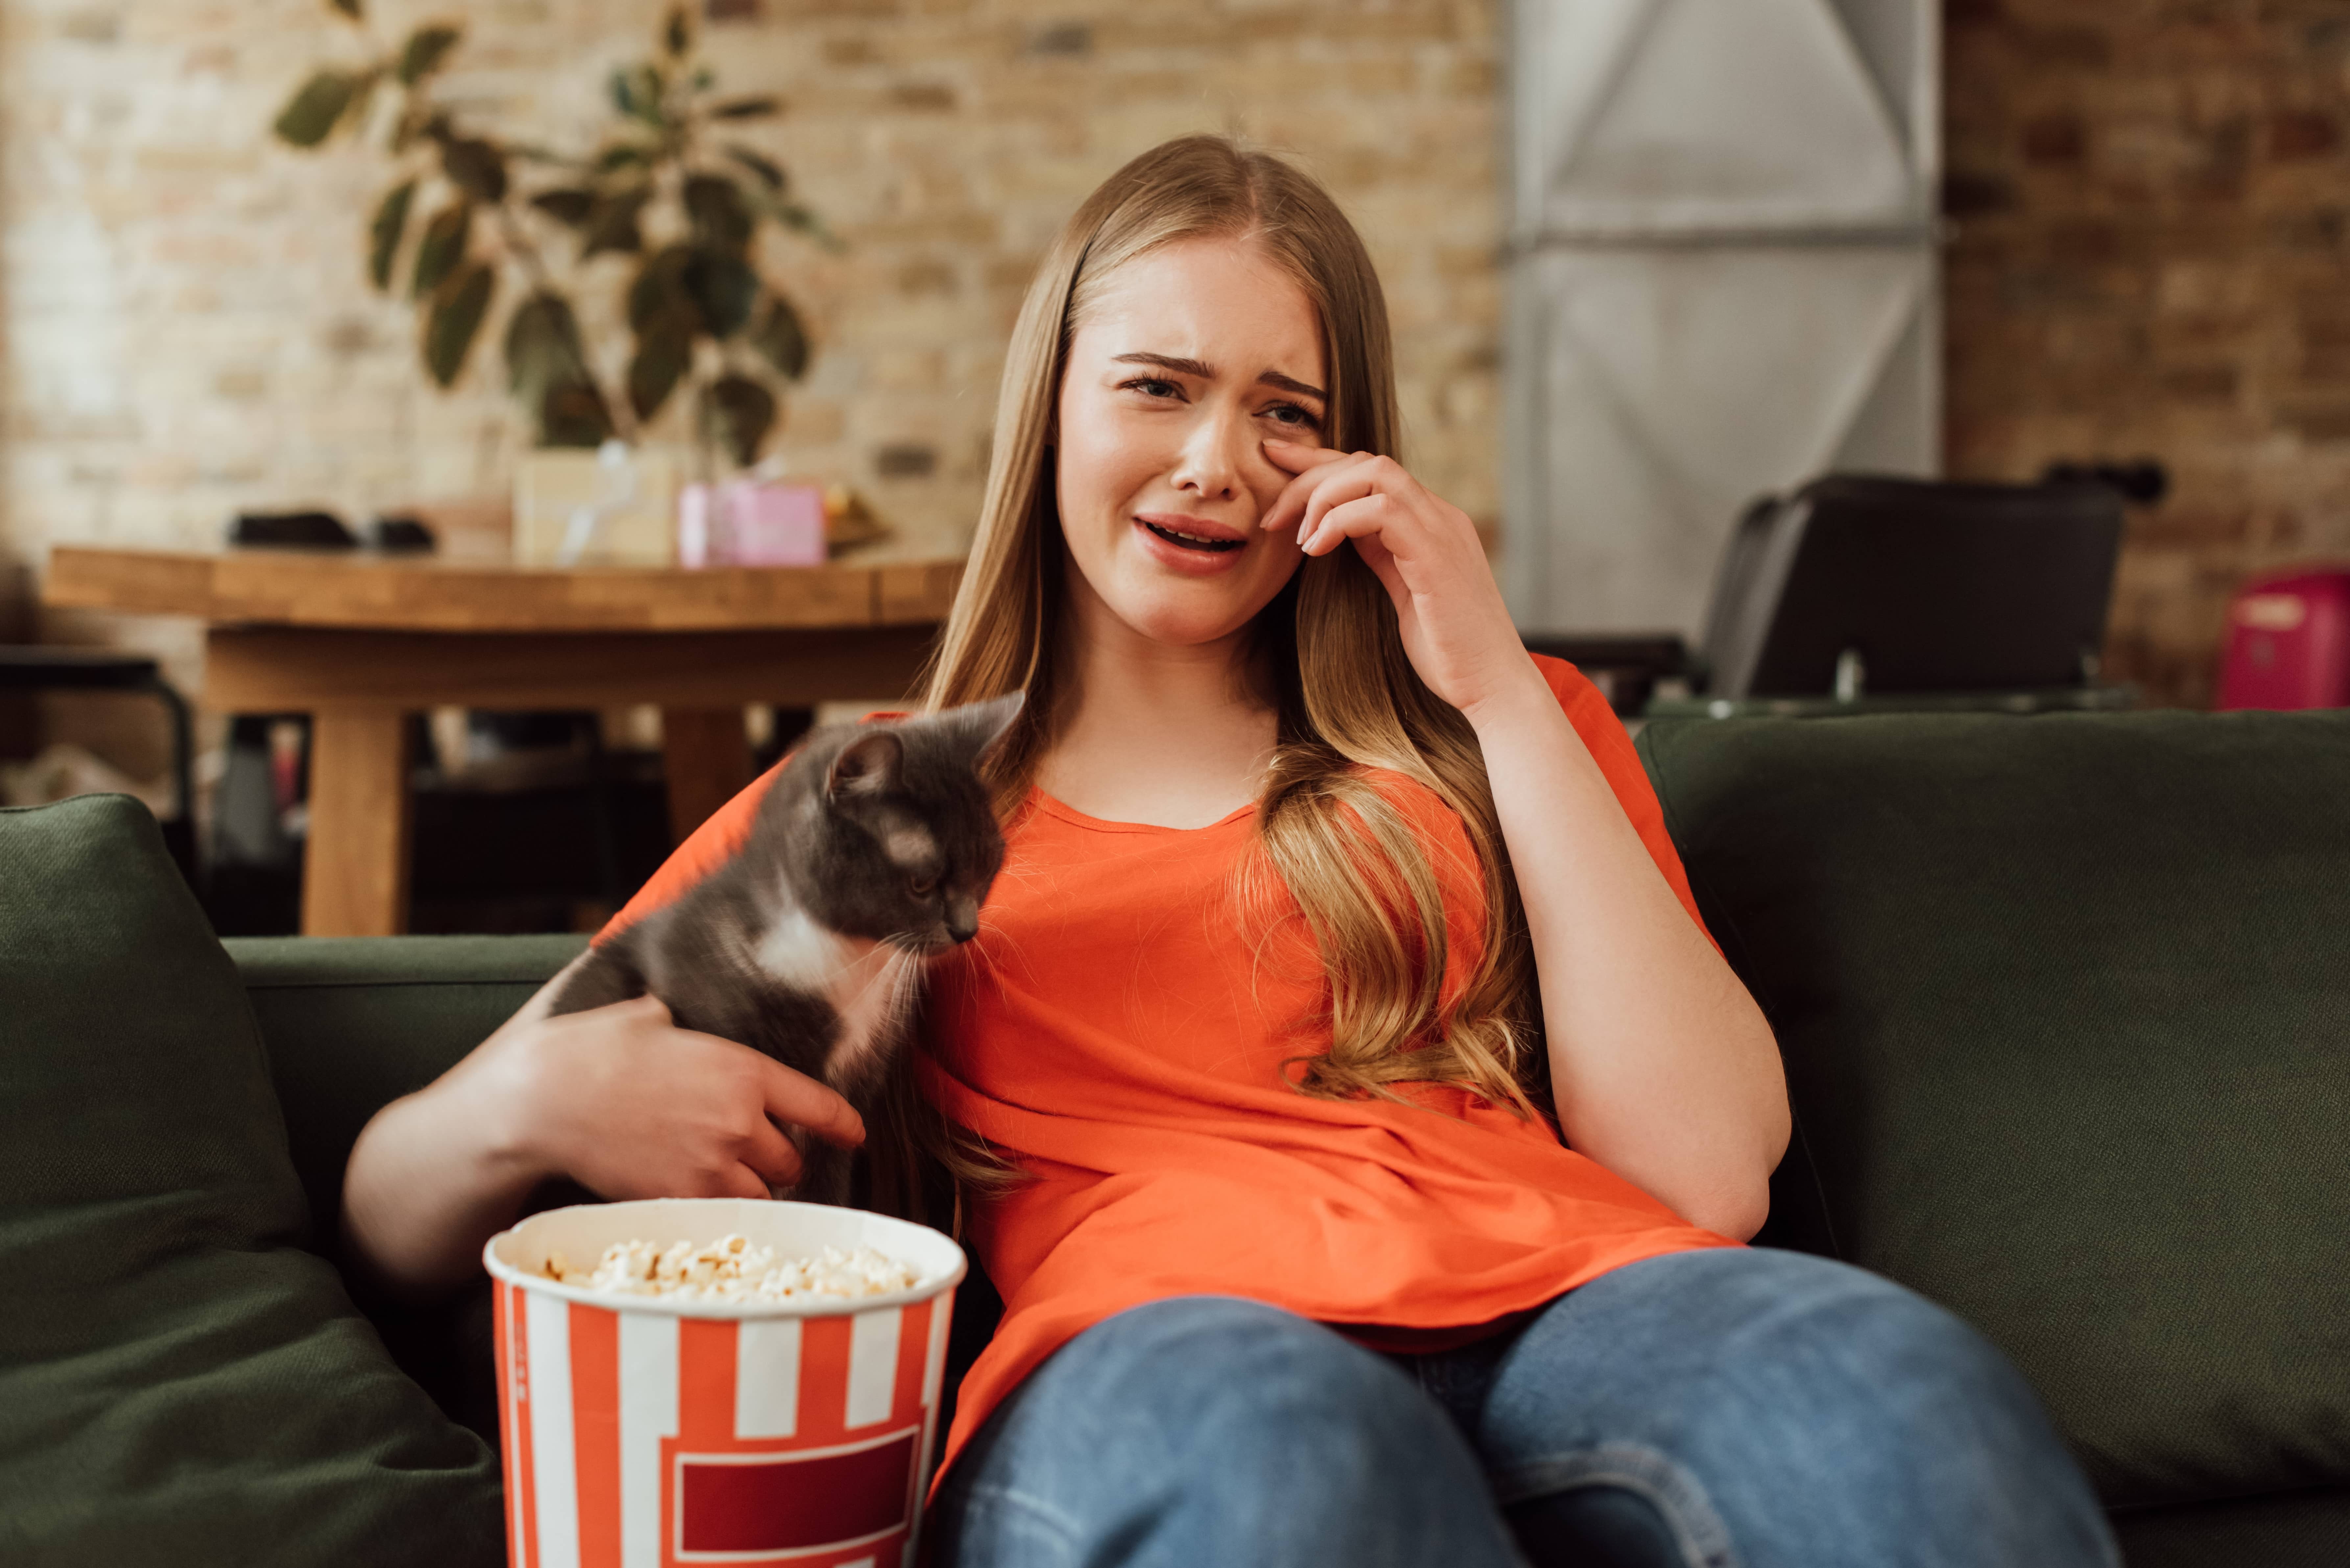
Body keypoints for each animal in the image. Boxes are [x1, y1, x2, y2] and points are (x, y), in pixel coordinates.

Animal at [550, 691, 1029, 1213]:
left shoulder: (847, 1096)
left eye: (988, 866)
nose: (967, 929)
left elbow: (824, 1191)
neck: (841, 957)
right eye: (922, 883)